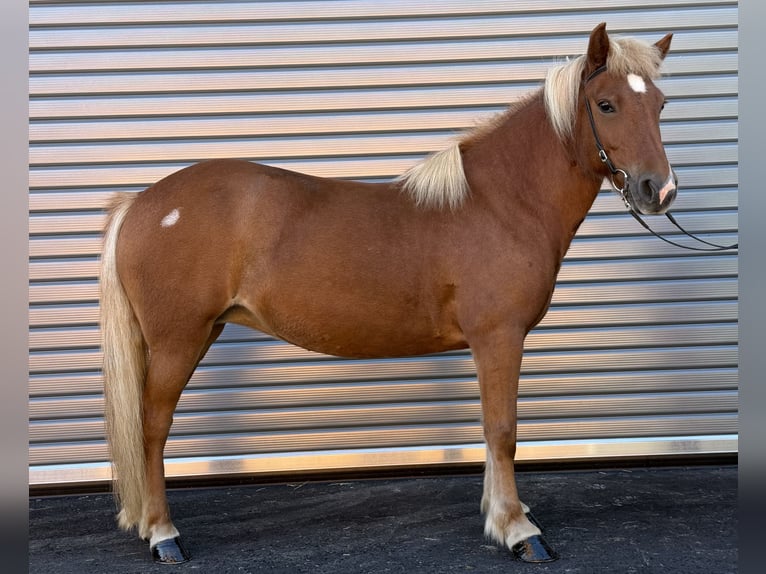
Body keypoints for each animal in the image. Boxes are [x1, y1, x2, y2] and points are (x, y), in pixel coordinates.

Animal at [100, 23, 676, 564]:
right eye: (606, 104)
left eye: (661, 104)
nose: (660, 190)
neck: (500, 203)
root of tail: (142, 202)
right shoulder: (499, 337)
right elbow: (503, 430)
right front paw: (519, 531)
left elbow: (490, 431)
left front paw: (500, 515)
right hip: (179, 340)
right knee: (152, 427)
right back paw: (164, 534)